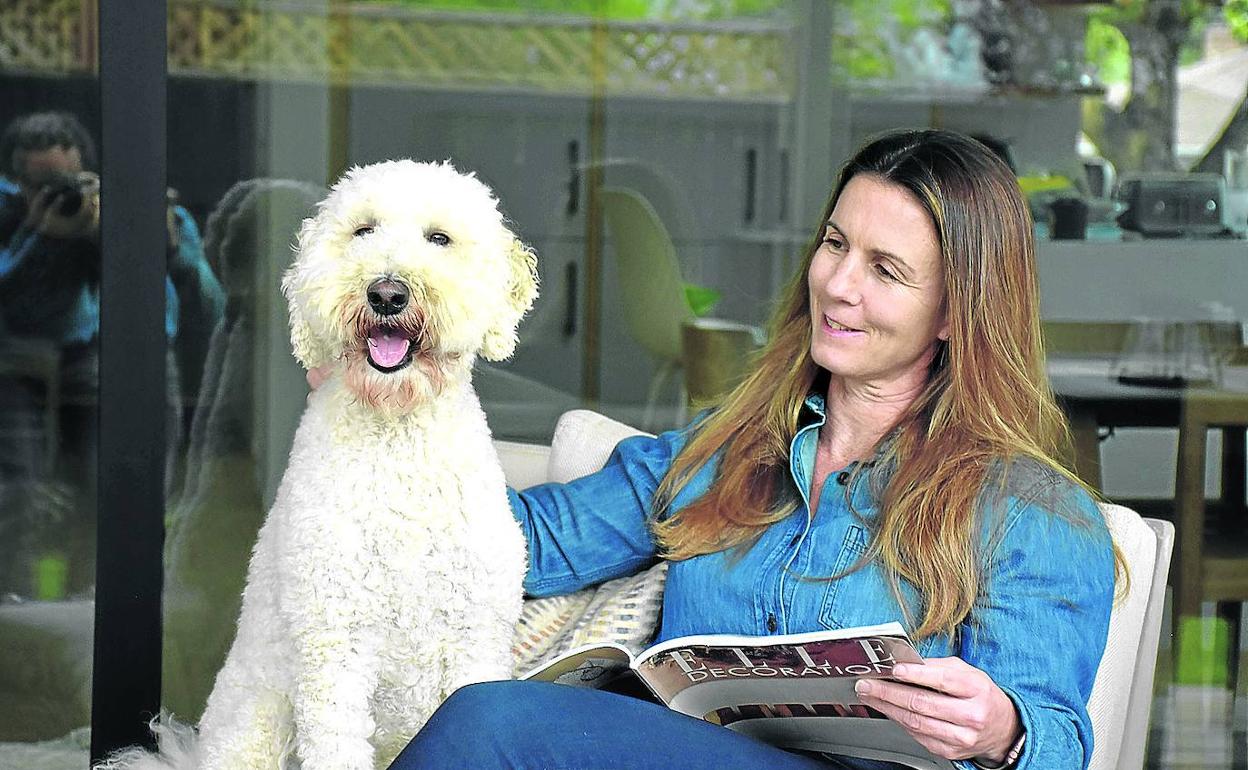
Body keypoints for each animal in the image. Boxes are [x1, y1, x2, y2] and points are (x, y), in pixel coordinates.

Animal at [99, 157, 539, 768]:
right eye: (363, 231)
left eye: (439, 239)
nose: (387, 293)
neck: (397, 439)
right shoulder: (335, 643)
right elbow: (336, 743)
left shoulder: (476, 637)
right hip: (260, 721)